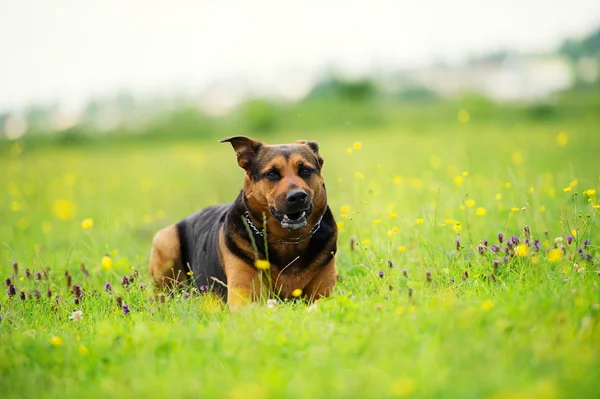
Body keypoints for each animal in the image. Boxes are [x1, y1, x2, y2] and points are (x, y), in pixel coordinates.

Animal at [148, 138, 338, 310]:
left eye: (305, 170)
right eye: (271, 174)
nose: (297, 196)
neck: (288, 240)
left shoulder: (325, 290)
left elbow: (324, 301)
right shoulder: (243, 294)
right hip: (165, 240)